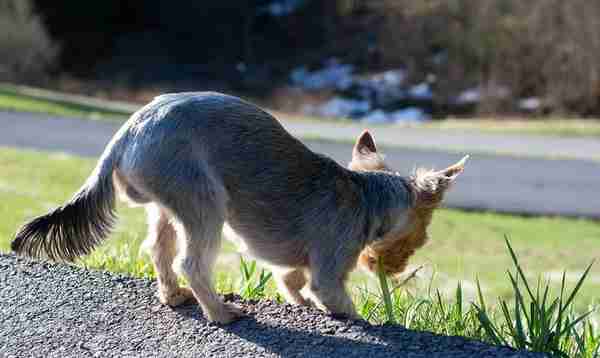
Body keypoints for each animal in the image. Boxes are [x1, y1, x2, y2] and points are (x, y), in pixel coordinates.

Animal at [11, 92, 466, 324]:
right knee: (192, 262)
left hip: (168, 203)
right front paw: (358, 320)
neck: (366, 194)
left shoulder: (296, 264)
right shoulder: (332, 265)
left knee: (159, 249)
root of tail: (127, 132)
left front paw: (299, 302)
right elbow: (333, 296)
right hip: (204, 198)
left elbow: (292, 280)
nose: (397, 269)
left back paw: (174, 297)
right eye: (423, 233)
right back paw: (221, 313)